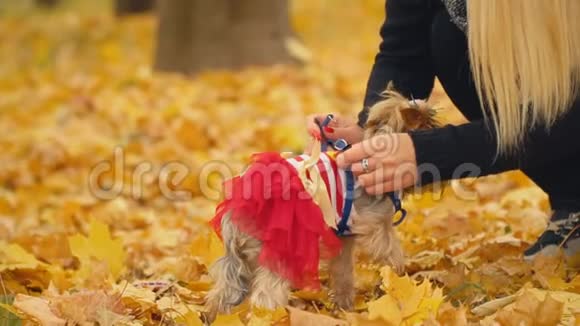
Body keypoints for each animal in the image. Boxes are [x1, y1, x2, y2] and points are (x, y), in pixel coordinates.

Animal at [204, 87, 440, 324]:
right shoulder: (377, 226)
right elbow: (391, 251)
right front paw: (397, 275)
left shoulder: (343, 237)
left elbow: (343, 271)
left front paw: (344, 307)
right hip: (278, 252)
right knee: (266, 295)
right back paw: (270, 317)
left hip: (236, 260)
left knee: (224, 291)